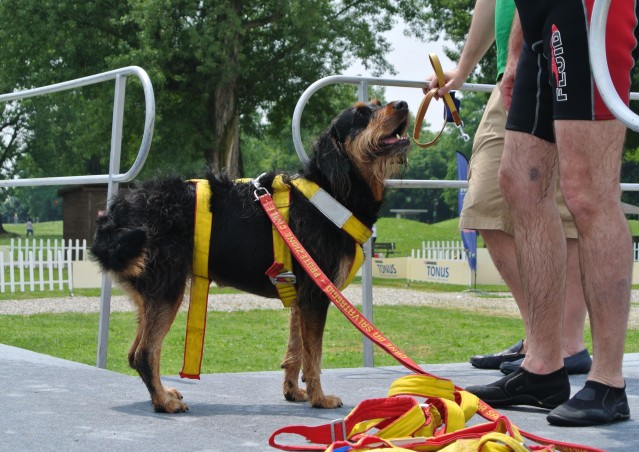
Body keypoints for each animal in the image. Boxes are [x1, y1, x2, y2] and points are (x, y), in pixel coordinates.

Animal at [89, 100, 410, 414]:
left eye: (378, 104)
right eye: (361, 113)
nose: (404, 104)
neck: (331, 191)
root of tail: (116, 216)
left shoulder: (301, 298)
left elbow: (296, 351)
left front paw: (294, 392)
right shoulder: (316, 296)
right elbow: (313, 356)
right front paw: (319, 398)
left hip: (150, 296)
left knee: (135, 353)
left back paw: (163, 393)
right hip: (167, 289)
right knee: (145, 352)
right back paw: (164, 402)